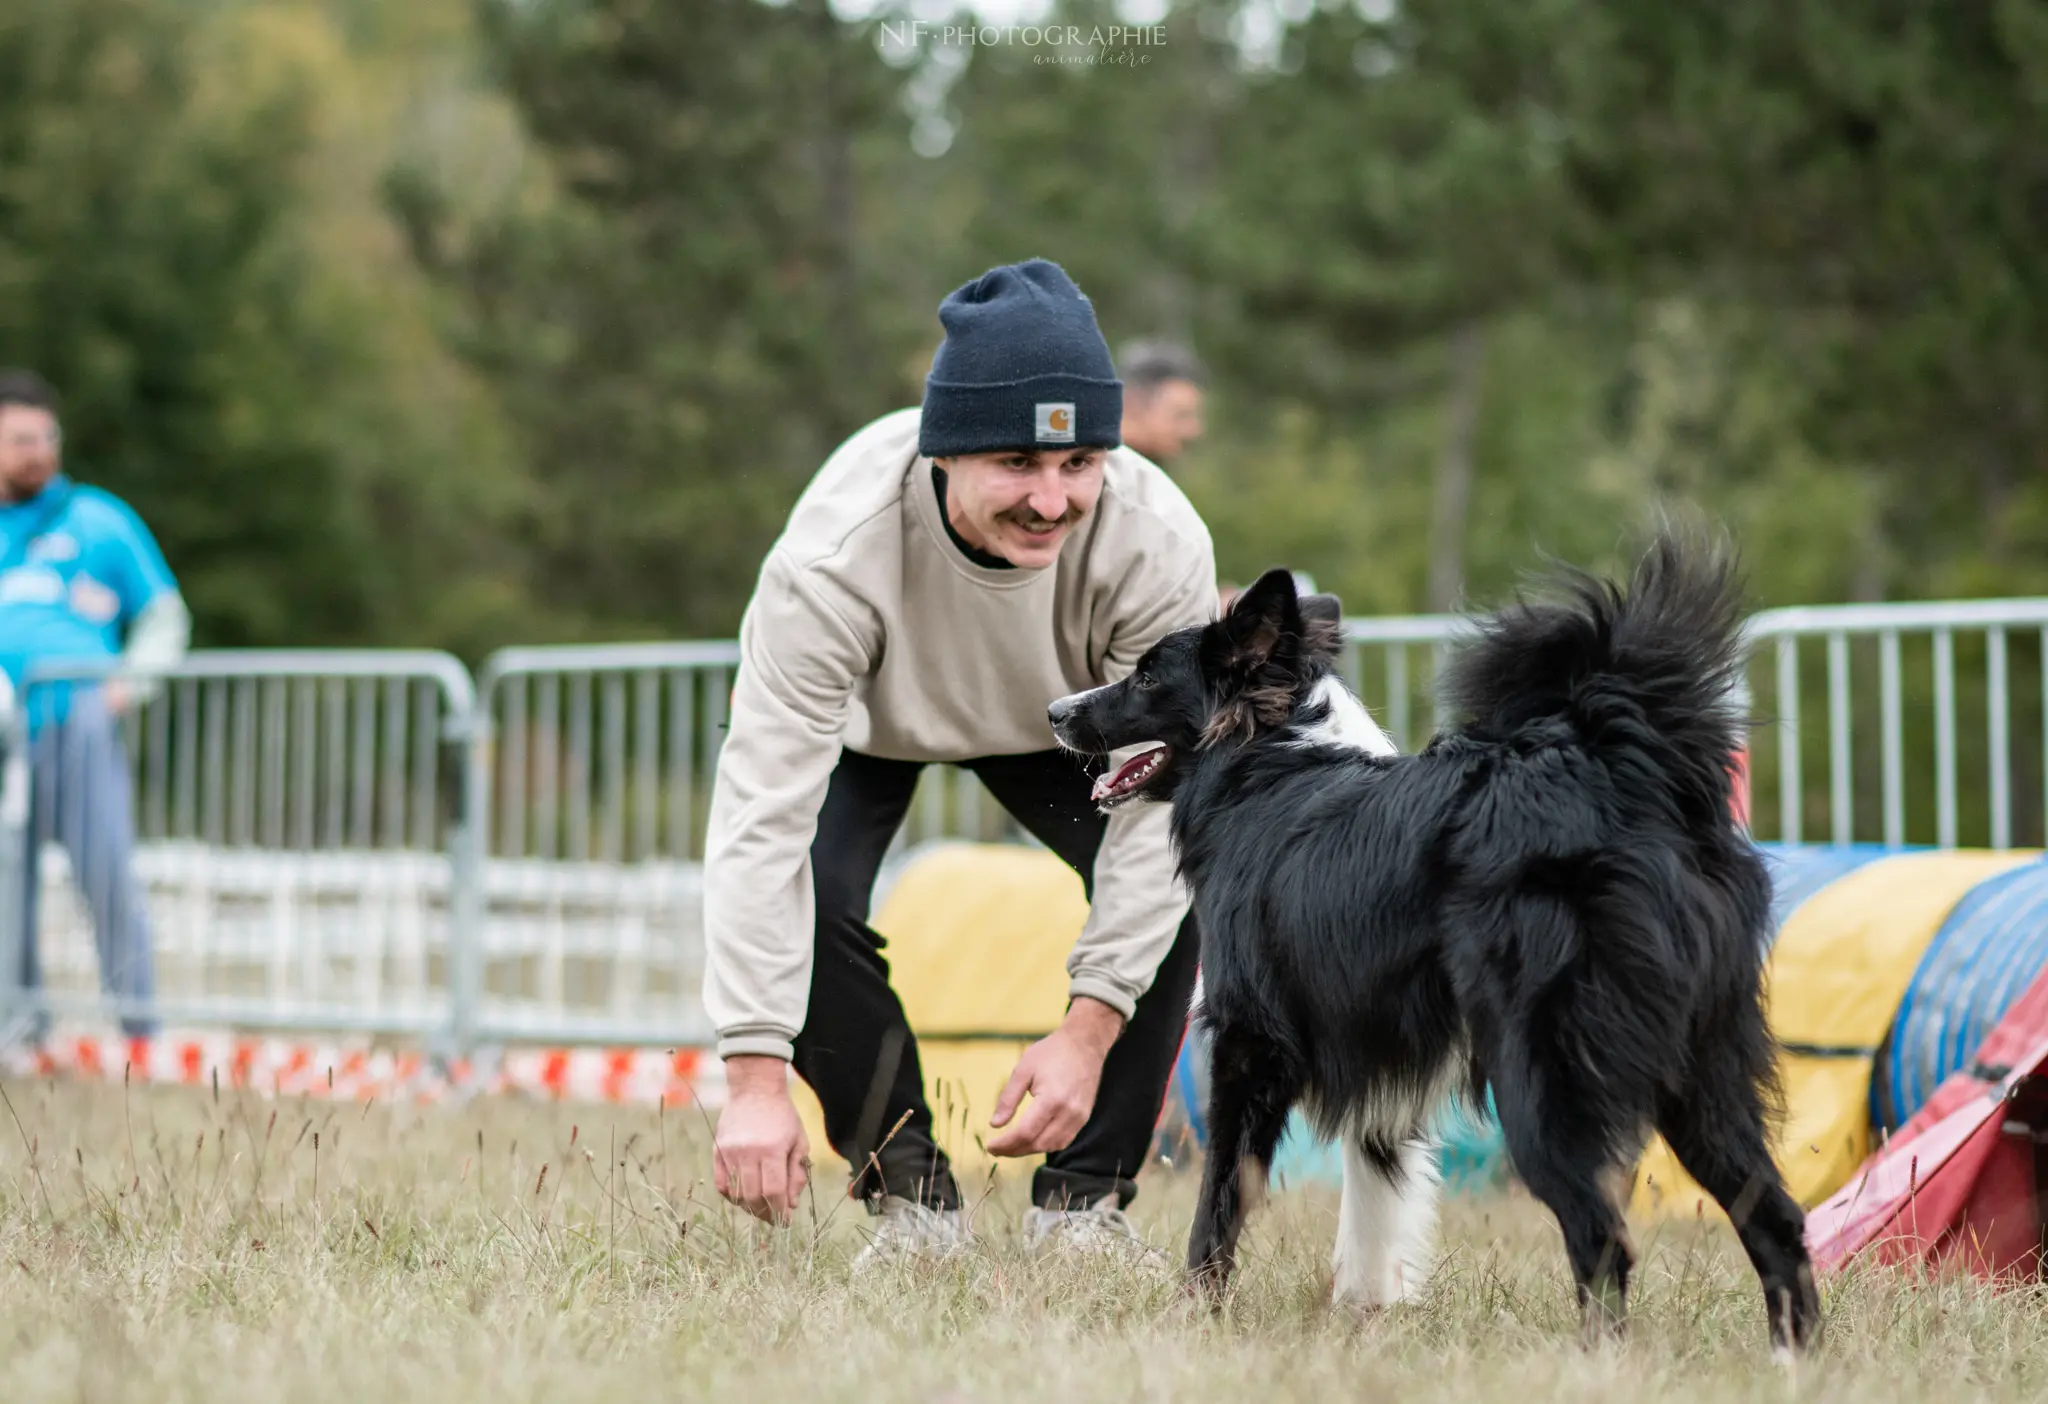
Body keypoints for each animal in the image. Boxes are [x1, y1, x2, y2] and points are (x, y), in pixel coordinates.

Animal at [1048, 536, 1818, 1350]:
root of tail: (1615, 772)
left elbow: (1221, 1198)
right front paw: (1367, 1318)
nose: (1055, 711)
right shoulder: (1377, 1054)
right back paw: (1792, 1363)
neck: (1269, 757)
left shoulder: (1249, 1044)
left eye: (1147, 675)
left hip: (1543, 1079)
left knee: (1602, 1234)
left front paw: (1195, 1315)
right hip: (1702, 1073)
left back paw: (1596, 1363)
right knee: (1774, 1219)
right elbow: (1375, 1201)